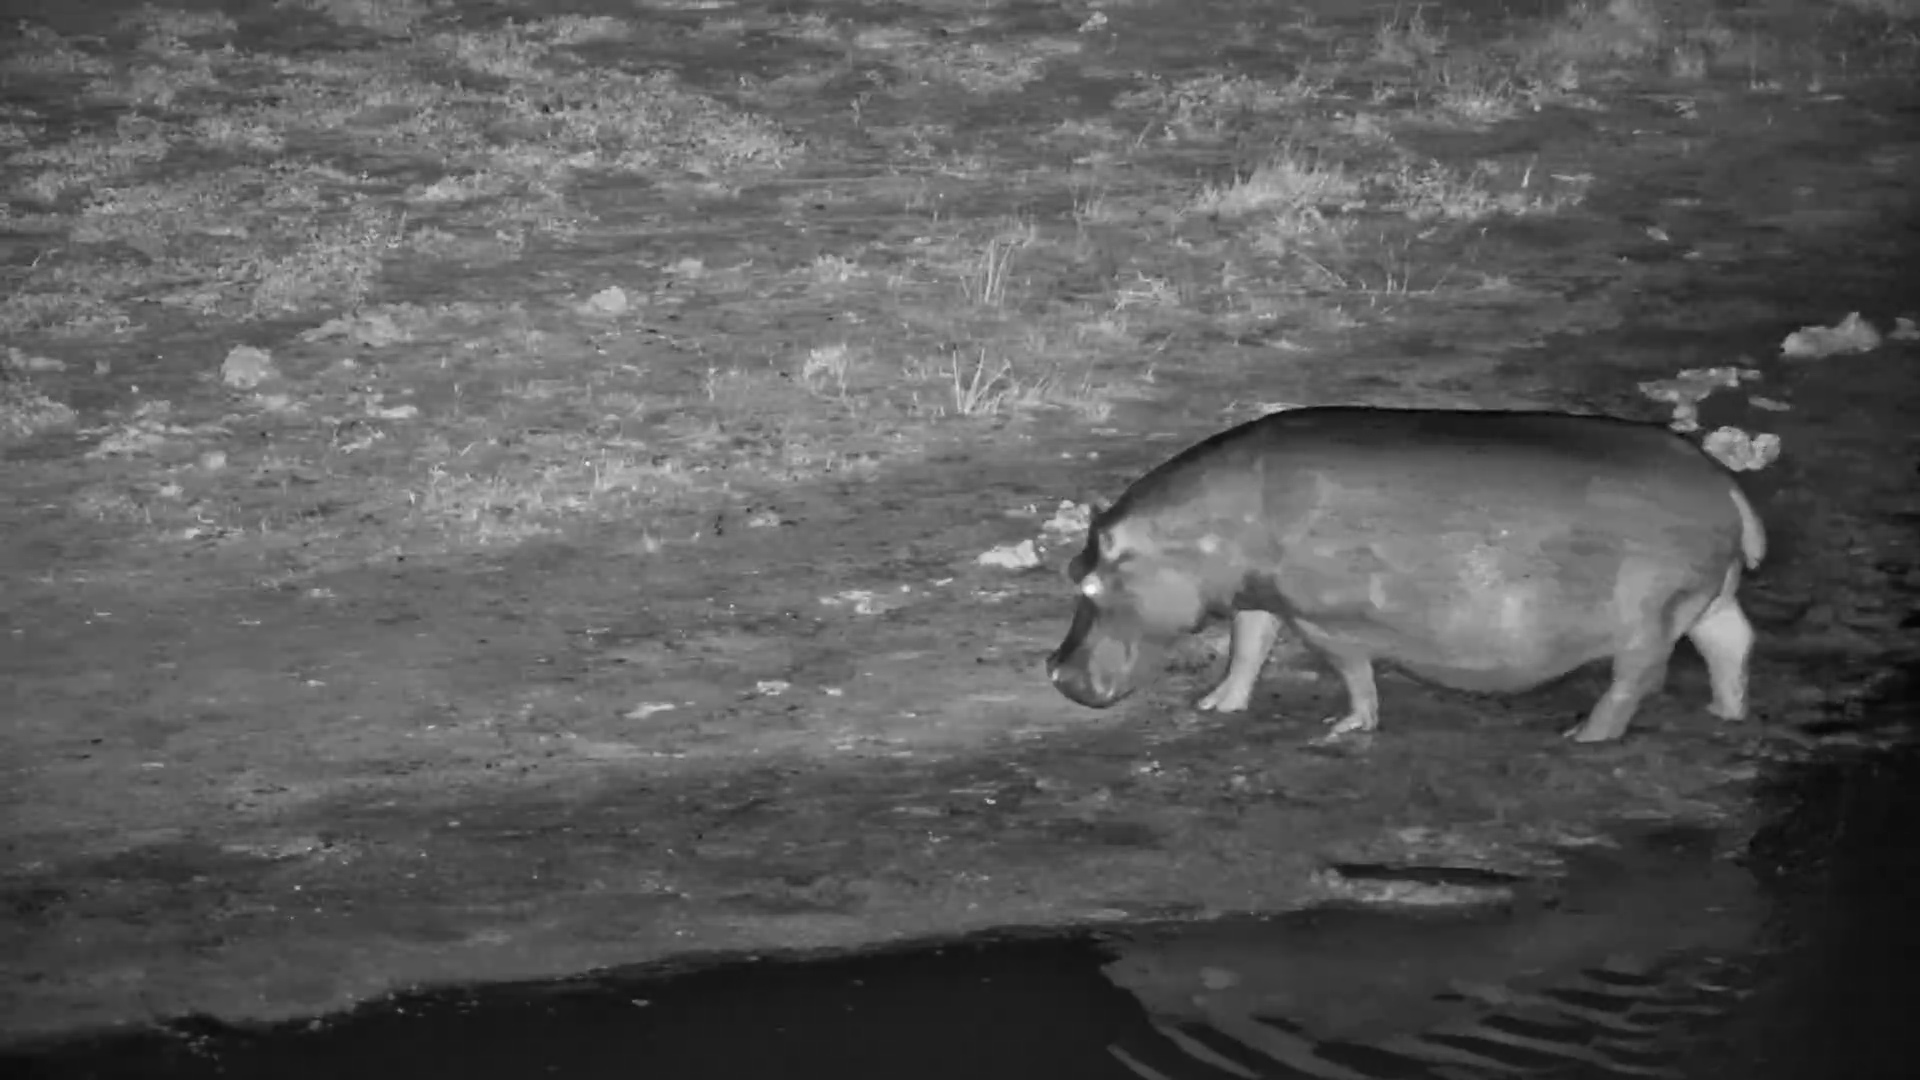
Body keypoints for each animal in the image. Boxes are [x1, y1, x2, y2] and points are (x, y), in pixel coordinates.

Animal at [1044, 407, 1766, 743]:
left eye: (1086, 581)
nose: (1056, 673)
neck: (1198, 533)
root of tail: (1728, 487)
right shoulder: (1258, 594)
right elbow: (1248, 645)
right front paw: (1215, 704)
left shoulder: (1324, 619)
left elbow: (1352, 673)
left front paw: (1345, 727)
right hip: (1708, 600)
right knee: (1732, 645)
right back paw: (1726, 713)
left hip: (1649, 622)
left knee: (1634, 681)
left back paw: (1584, 736)